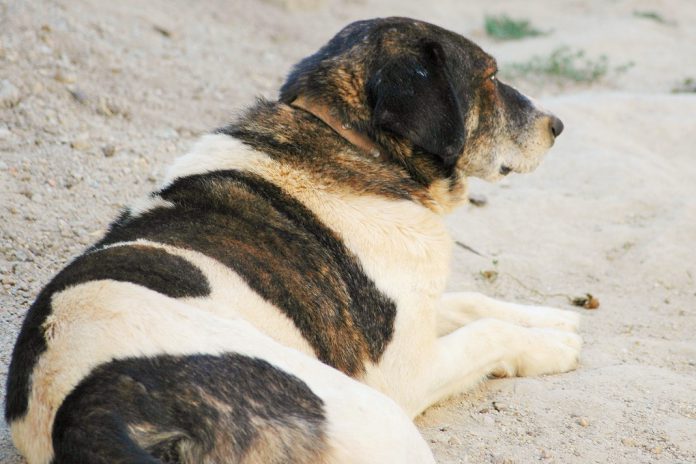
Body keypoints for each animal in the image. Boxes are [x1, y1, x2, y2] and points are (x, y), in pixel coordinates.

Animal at [6, 17, 580, 464]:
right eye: (491, 77)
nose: (558, 125)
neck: (351, 142)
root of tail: (93, 418)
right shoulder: (405, 372)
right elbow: (487, 332)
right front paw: (553, 345)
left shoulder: (406, 312)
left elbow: (471, 301)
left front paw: (557, 319)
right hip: (378, 415)